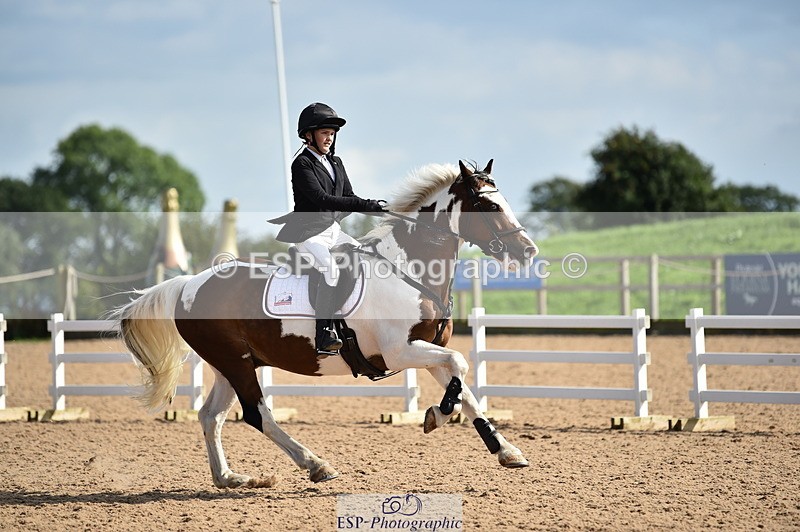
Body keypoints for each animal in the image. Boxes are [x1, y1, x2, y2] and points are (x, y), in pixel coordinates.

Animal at [115, 160, 538, 488]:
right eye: (486, 204)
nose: (527, 251)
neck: (410, 270)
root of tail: (189, 283)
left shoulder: (427, 351)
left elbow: (464, 386)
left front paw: (506, 450)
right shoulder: (400, 352)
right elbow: (460, 368)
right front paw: (437, 415)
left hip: (230, 364)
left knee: (211, 416)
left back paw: (229, 478)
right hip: (236, 363)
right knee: (257, 414)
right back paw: (316, 465)